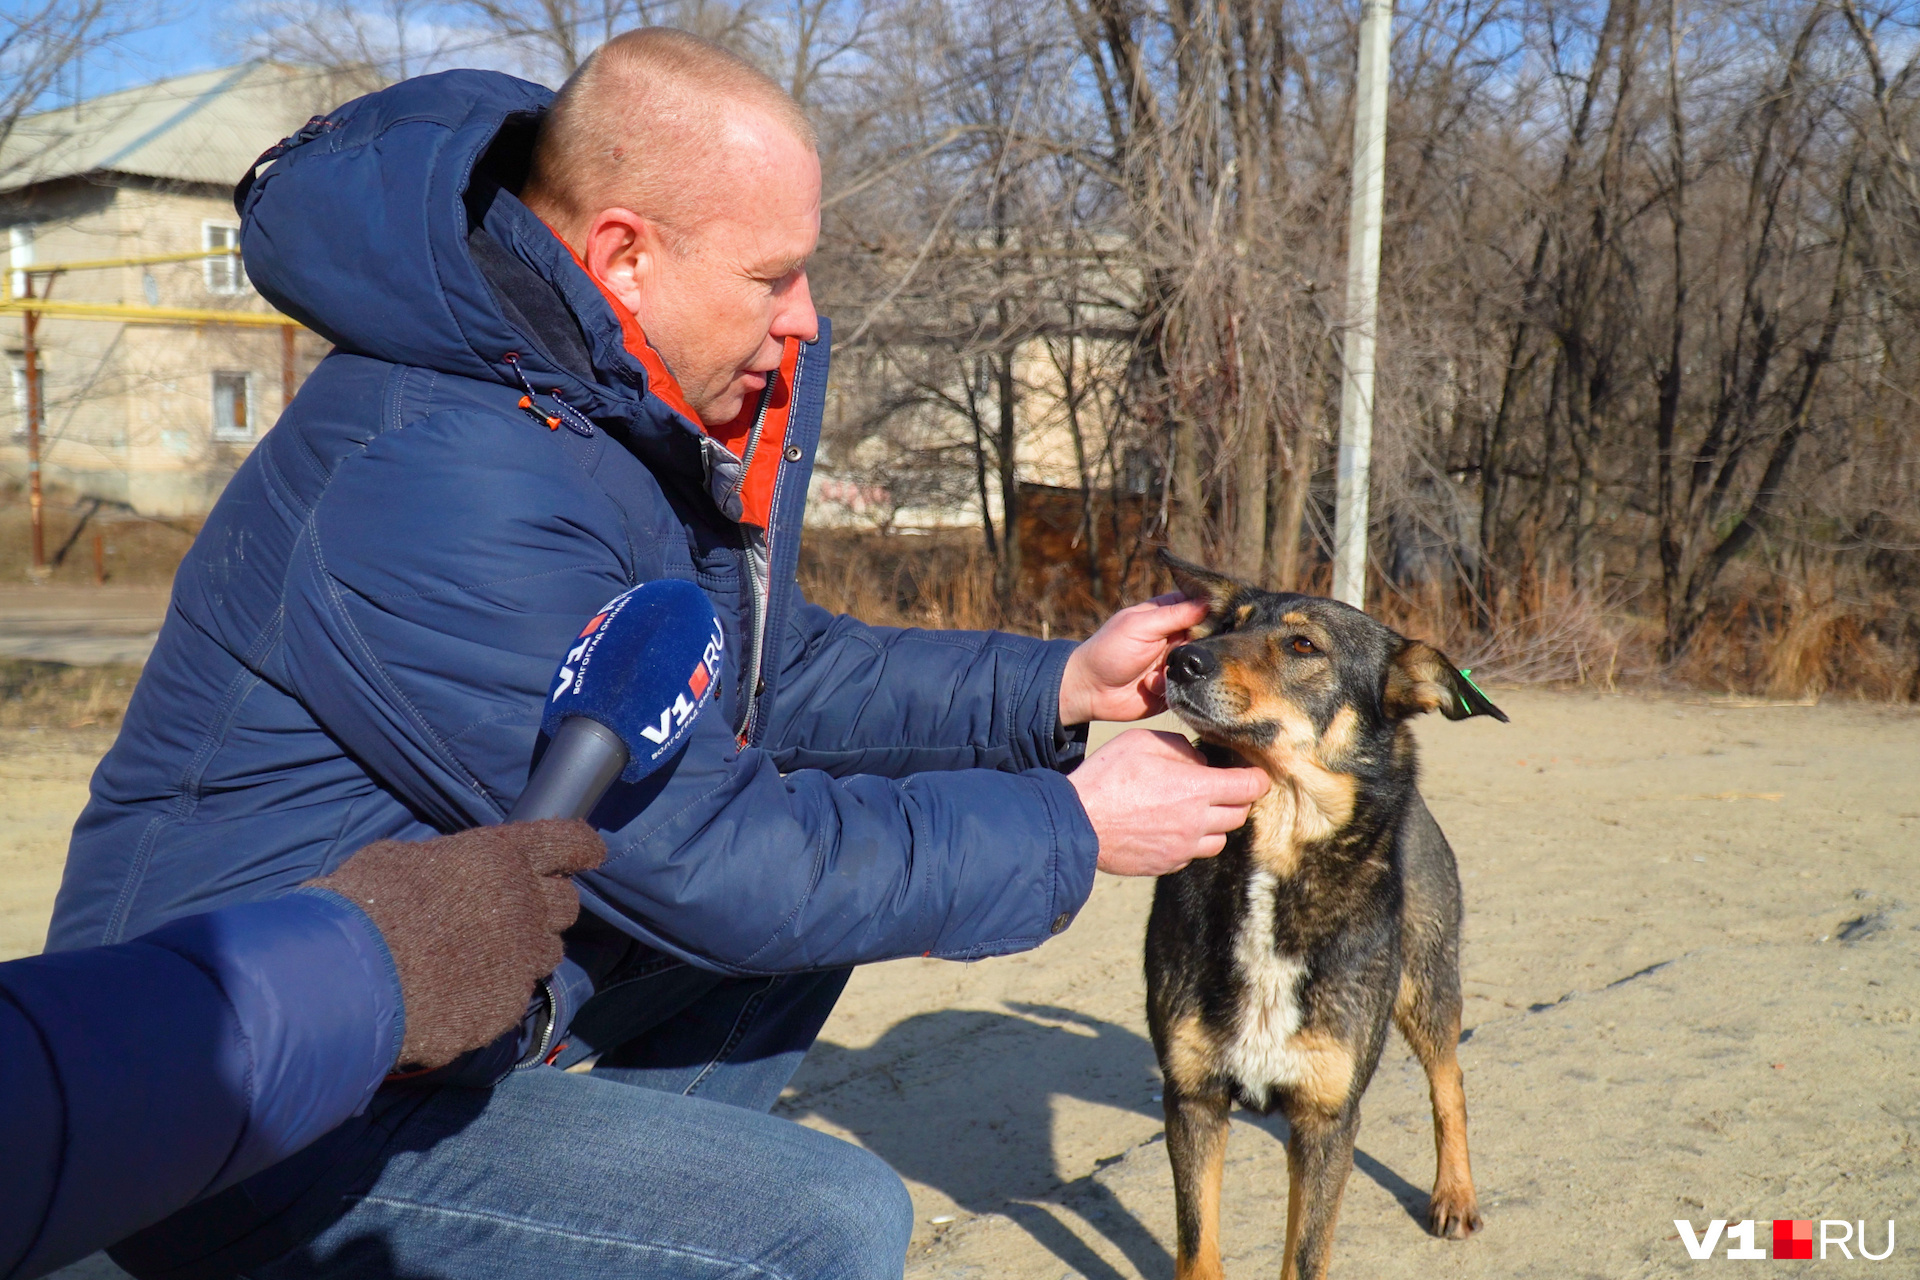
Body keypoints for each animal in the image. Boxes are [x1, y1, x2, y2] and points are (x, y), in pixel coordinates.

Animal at [1144, 552, 1505, 1280]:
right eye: (1228, 625)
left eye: (1303, 645)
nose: (1181, 658)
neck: (1272, 862)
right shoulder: (1192, 1100)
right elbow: (1197, 1249)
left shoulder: (1327, 1119)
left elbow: (1304, 1258)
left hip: (1426, 987)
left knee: (1449, 1081)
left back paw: (1454, 1193)